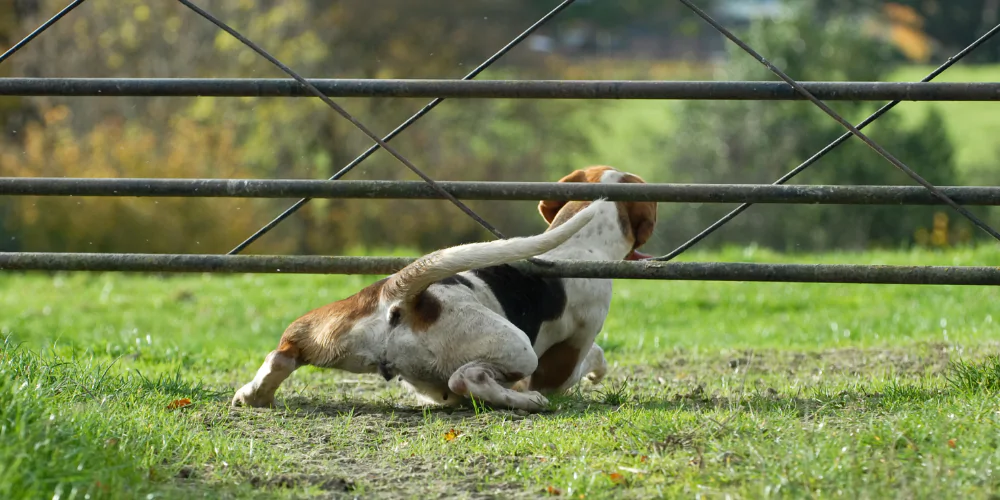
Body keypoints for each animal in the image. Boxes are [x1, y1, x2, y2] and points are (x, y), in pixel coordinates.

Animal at [232, 166, 656, 412]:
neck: (582, 244)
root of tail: (404, 296)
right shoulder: (563, 364)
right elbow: (592, 357)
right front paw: (595, 374)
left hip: (327, 334)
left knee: (283, 354)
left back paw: (255, 395)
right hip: (518, 349)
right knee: (468, 379)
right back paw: (525, 401)